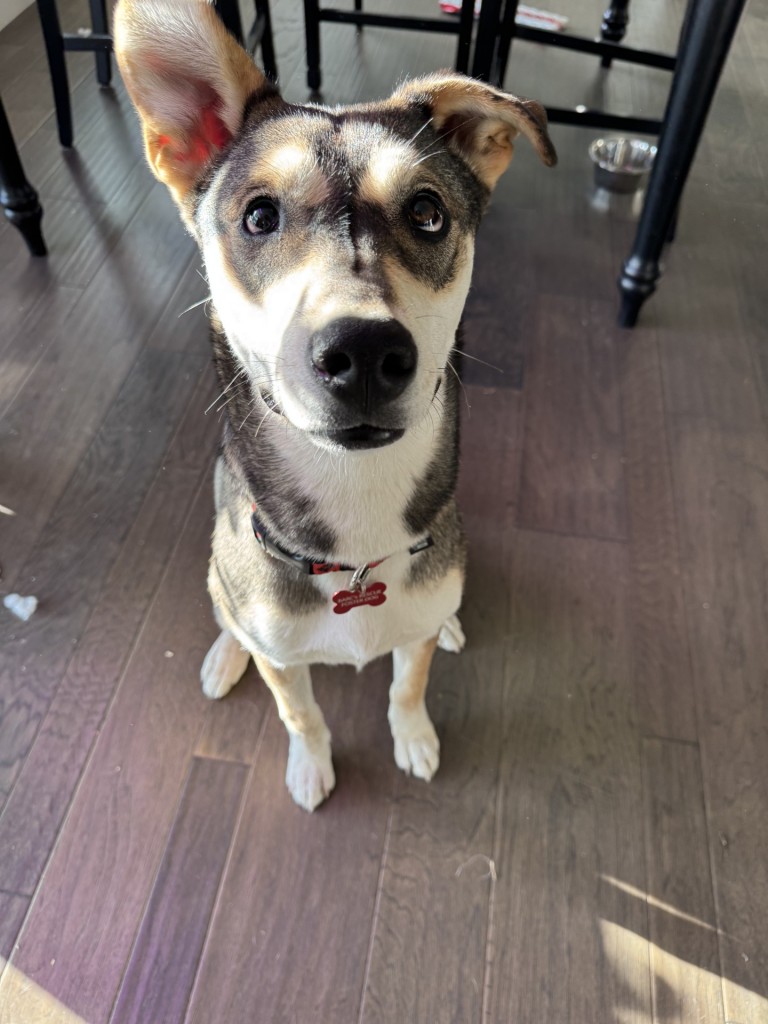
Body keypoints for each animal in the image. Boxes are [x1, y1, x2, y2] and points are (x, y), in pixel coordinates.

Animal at [114, 0, 555, 811]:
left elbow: (408, 683)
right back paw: (225, 655)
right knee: (226, 610)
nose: (366, 354)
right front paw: (310, 766)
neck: (356, 510)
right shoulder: (283, 659)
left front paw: (414, 736)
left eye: (427, 212)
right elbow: (301, 712)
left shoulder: (413, 629)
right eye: (258, 217)